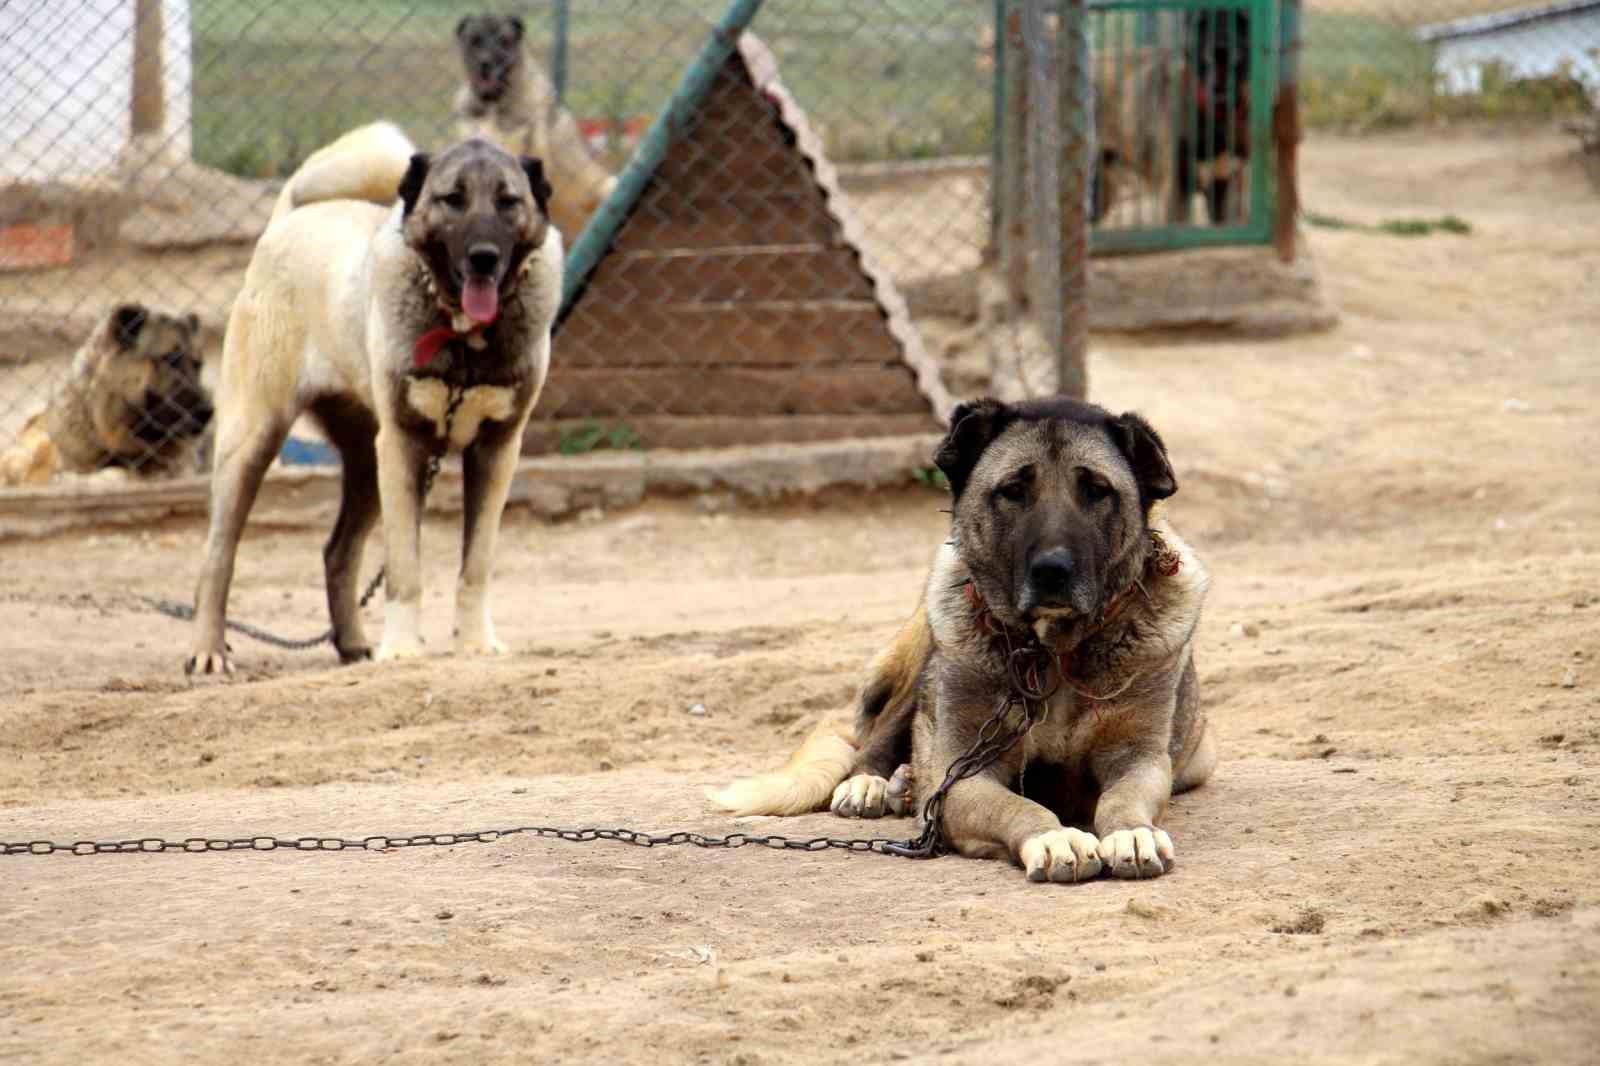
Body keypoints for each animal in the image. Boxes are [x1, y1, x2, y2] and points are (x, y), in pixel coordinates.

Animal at [184, 122, 563, 672]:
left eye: (508, 201)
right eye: (452, 199)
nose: (484, 258)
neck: (462, 337)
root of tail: (290, 219)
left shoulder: (495, 452)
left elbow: (476, 565)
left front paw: (474, 643)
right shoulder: (405, 447)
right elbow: (405, 570)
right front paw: (402, 649)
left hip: (367, 464)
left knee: (337, 552)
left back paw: (353, 644)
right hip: (253, 443)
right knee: (218, 556)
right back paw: (207, 650)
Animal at [716, 398, 1209, 877]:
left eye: (1097, 490)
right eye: (1013, 491)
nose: (1052, 571)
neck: (1051, 652)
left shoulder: (1140, 760)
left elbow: (1122, 799)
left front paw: (1132, 833)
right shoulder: (963, 775)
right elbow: (1019, 807)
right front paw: (1054, 838)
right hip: (925, 661)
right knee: (882, 734)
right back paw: (873, 784)